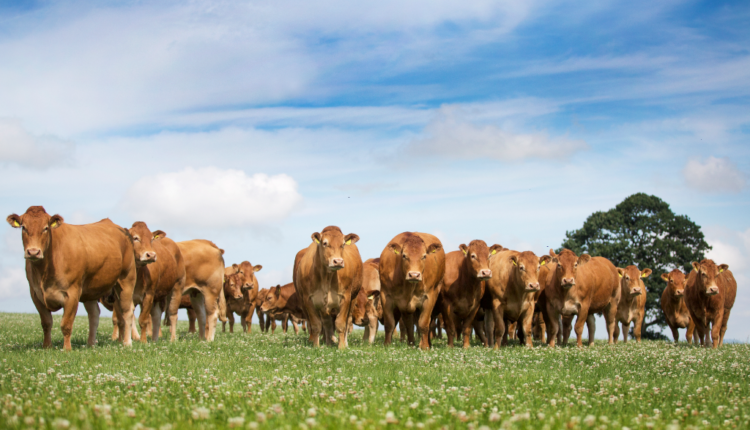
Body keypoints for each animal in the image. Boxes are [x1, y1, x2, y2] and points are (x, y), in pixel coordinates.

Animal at [6, 206, 137, 350]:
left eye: (46, 228)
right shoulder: (36, 294)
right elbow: (46, 323)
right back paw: (90, 344)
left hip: (126, 280)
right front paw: (47, 346)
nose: (33, 252)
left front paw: (67, 349)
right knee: (94, 314)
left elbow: (66, 324)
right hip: (91, 289)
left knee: (127, 311)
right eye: (24, 227)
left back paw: (127, 343)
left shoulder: (72, 293)